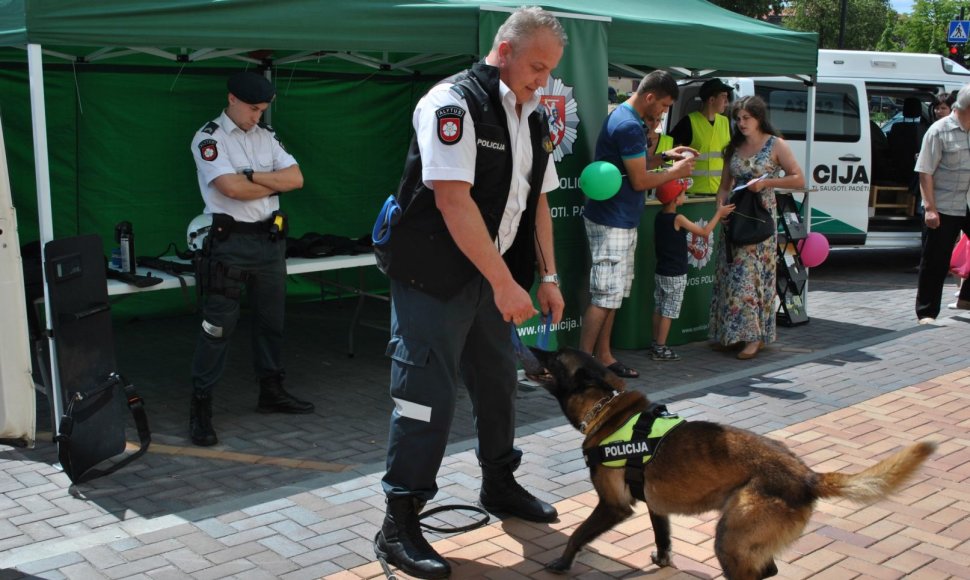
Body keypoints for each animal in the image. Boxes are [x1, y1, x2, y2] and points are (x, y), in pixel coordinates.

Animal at [528, 346, 936, 576]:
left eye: (555, 357)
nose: (532, 344)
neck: (606, 408)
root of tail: (806, 476)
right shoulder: (656, 506)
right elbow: (663, 538)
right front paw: (662, 561)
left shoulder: (613, 506)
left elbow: (577, 534)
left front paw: (562, 563)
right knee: (768, 569)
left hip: (730, 540)